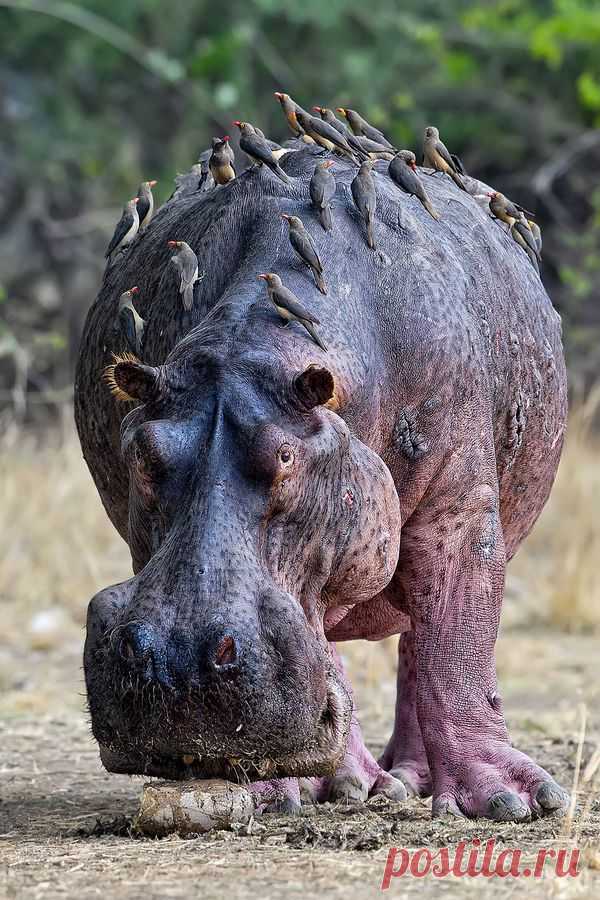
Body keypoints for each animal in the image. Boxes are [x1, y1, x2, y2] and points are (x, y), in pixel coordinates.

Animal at [75, 138, 569, 821]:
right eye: (144, 455)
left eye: (286, 457)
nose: (180, 661)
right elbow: (332, 651)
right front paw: (284, 791)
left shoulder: (458, 512)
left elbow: (456, 639)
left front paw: (511, 800)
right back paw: (358, 784)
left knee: (421, 640)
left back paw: (411, 780)